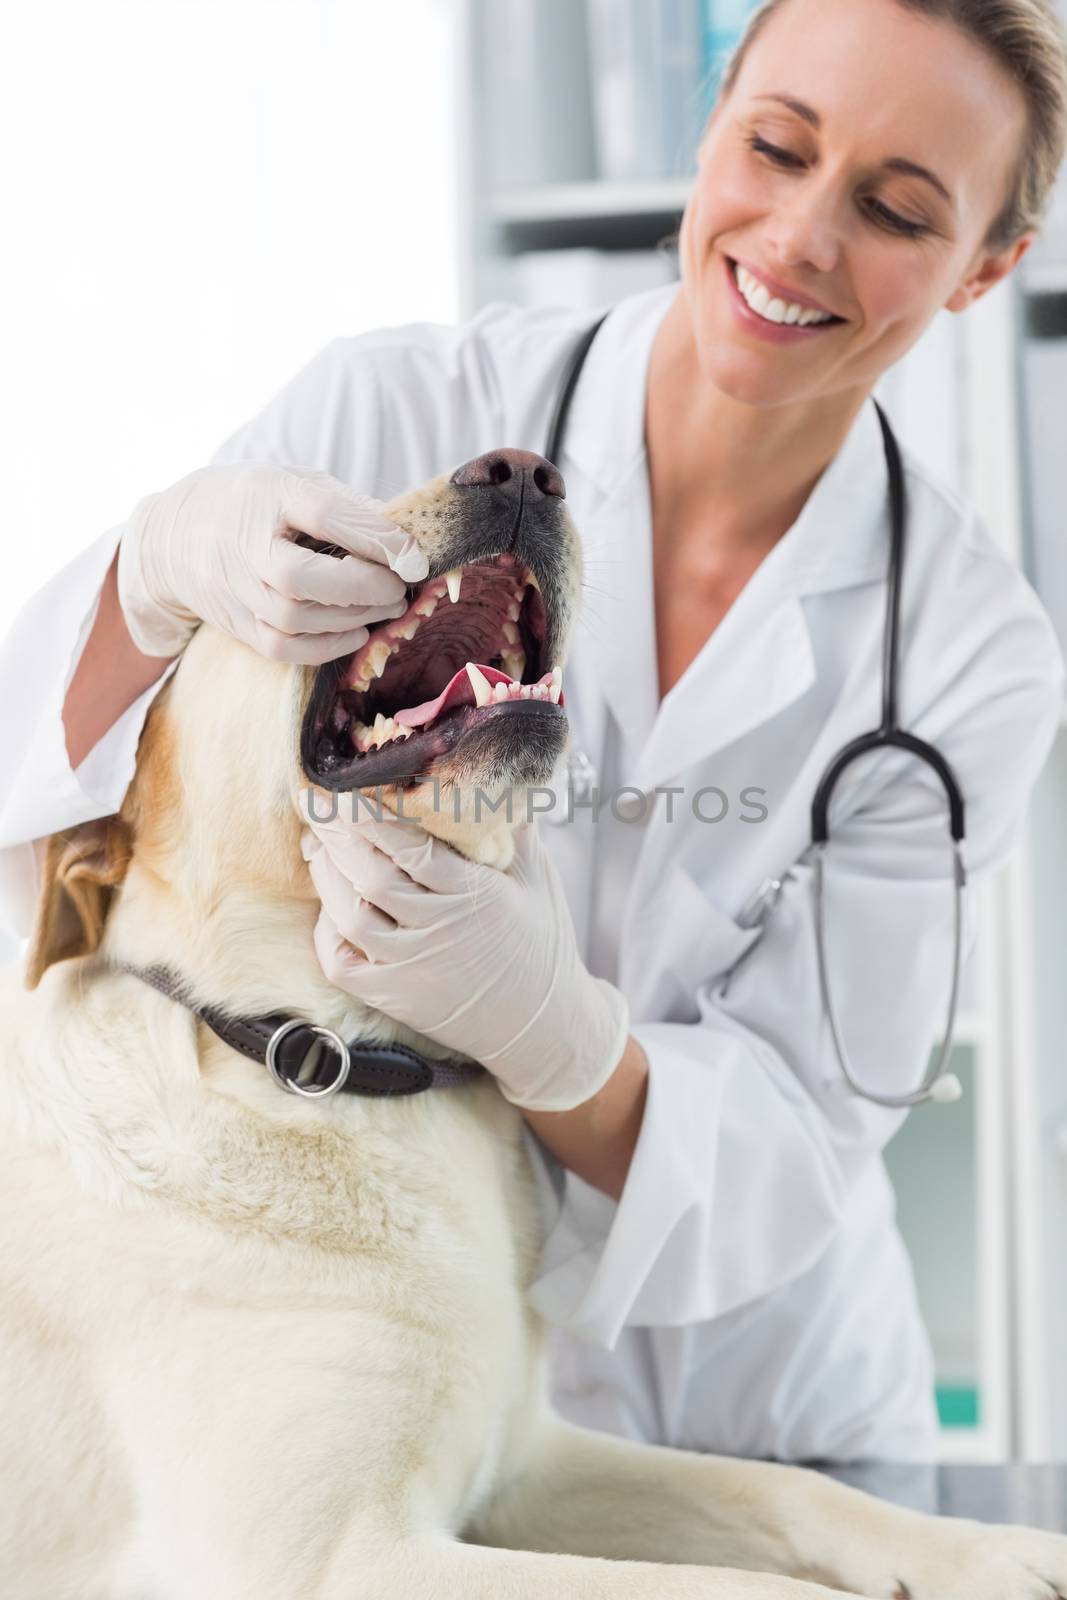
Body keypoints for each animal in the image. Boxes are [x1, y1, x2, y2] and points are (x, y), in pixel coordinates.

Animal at [2, 451, 1067, 1600]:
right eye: (317, 539)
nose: (518, 470)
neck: (328, 1057)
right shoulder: (335, 1556)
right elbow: (731, 1589)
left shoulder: (525, 1460)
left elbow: (786, 1489)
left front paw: (986, 1549)